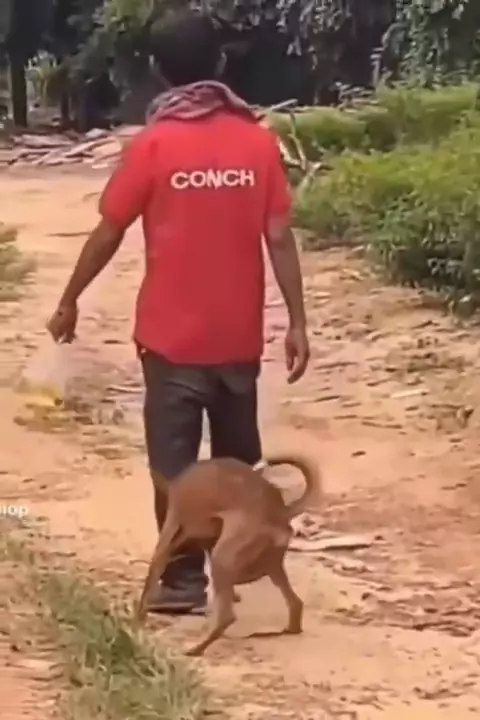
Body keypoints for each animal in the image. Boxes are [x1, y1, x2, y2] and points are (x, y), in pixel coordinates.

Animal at [136, 452, 321, 656]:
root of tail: (281, 512)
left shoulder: (168, 534)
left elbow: (149, 581)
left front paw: (137, 621)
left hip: (222, 559)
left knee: (227, 617)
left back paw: (196, 648)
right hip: (270, 567)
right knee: (296, 603)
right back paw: (283, 630)